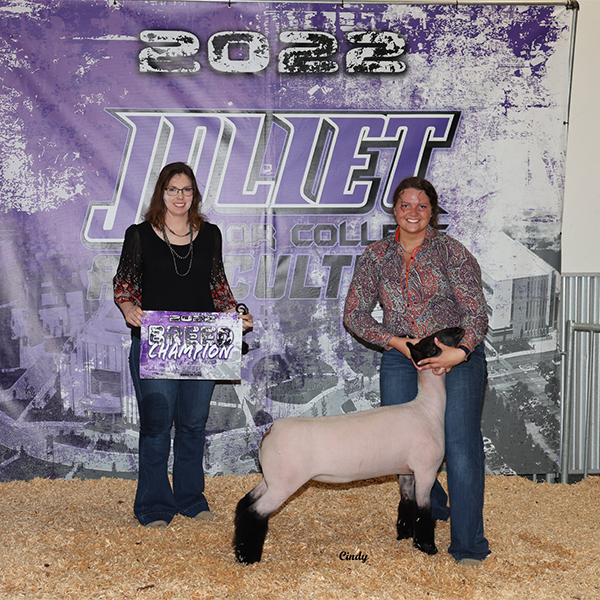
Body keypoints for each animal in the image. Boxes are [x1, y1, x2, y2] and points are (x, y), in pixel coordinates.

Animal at [234, 327, 465, 564]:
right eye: (434, 343)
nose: (459, 329)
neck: (427, 409)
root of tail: (271, 431)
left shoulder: (406, 471)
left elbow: (407, 503)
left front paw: (405, 535)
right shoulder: (426, 470)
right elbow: (423, 511)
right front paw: (427, 546)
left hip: (272, 478)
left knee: (246, 502)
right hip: (284, 483)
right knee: (256, 512)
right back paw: (247, 556)